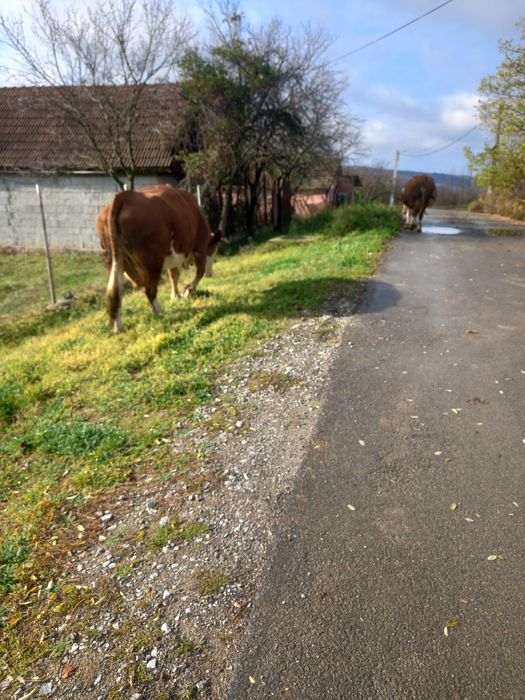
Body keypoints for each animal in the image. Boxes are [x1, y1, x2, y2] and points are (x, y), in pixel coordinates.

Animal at [97, 184, 221, 333]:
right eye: (213, 250)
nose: (211, 273)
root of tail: (123, 197)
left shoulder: (171, 256)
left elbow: (174, 275)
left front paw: (175, 295)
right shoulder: (199, 247)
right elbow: (199, 271)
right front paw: (188, 290)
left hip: (113, 260)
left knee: (114, 292)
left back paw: (118, 326)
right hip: (153, 261)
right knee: (149, 290)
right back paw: (159, 311)